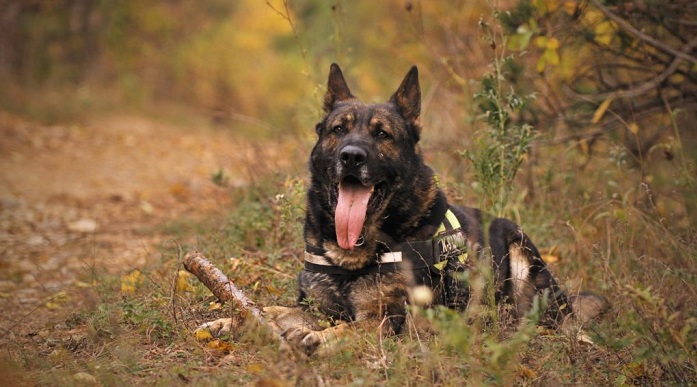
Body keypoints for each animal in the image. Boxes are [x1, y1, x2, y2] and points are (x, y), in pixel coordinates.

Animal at [201, 64, 604, 358]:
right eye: (338, 130)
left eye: (382, 135)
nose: (351, 156)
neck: (354, 255)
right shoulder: (318, 307)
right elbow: (270, 310)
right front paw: (230, 321)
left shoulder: (383, 320)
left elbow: (348, 329)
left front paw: (319, 338)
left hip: (522, 254)